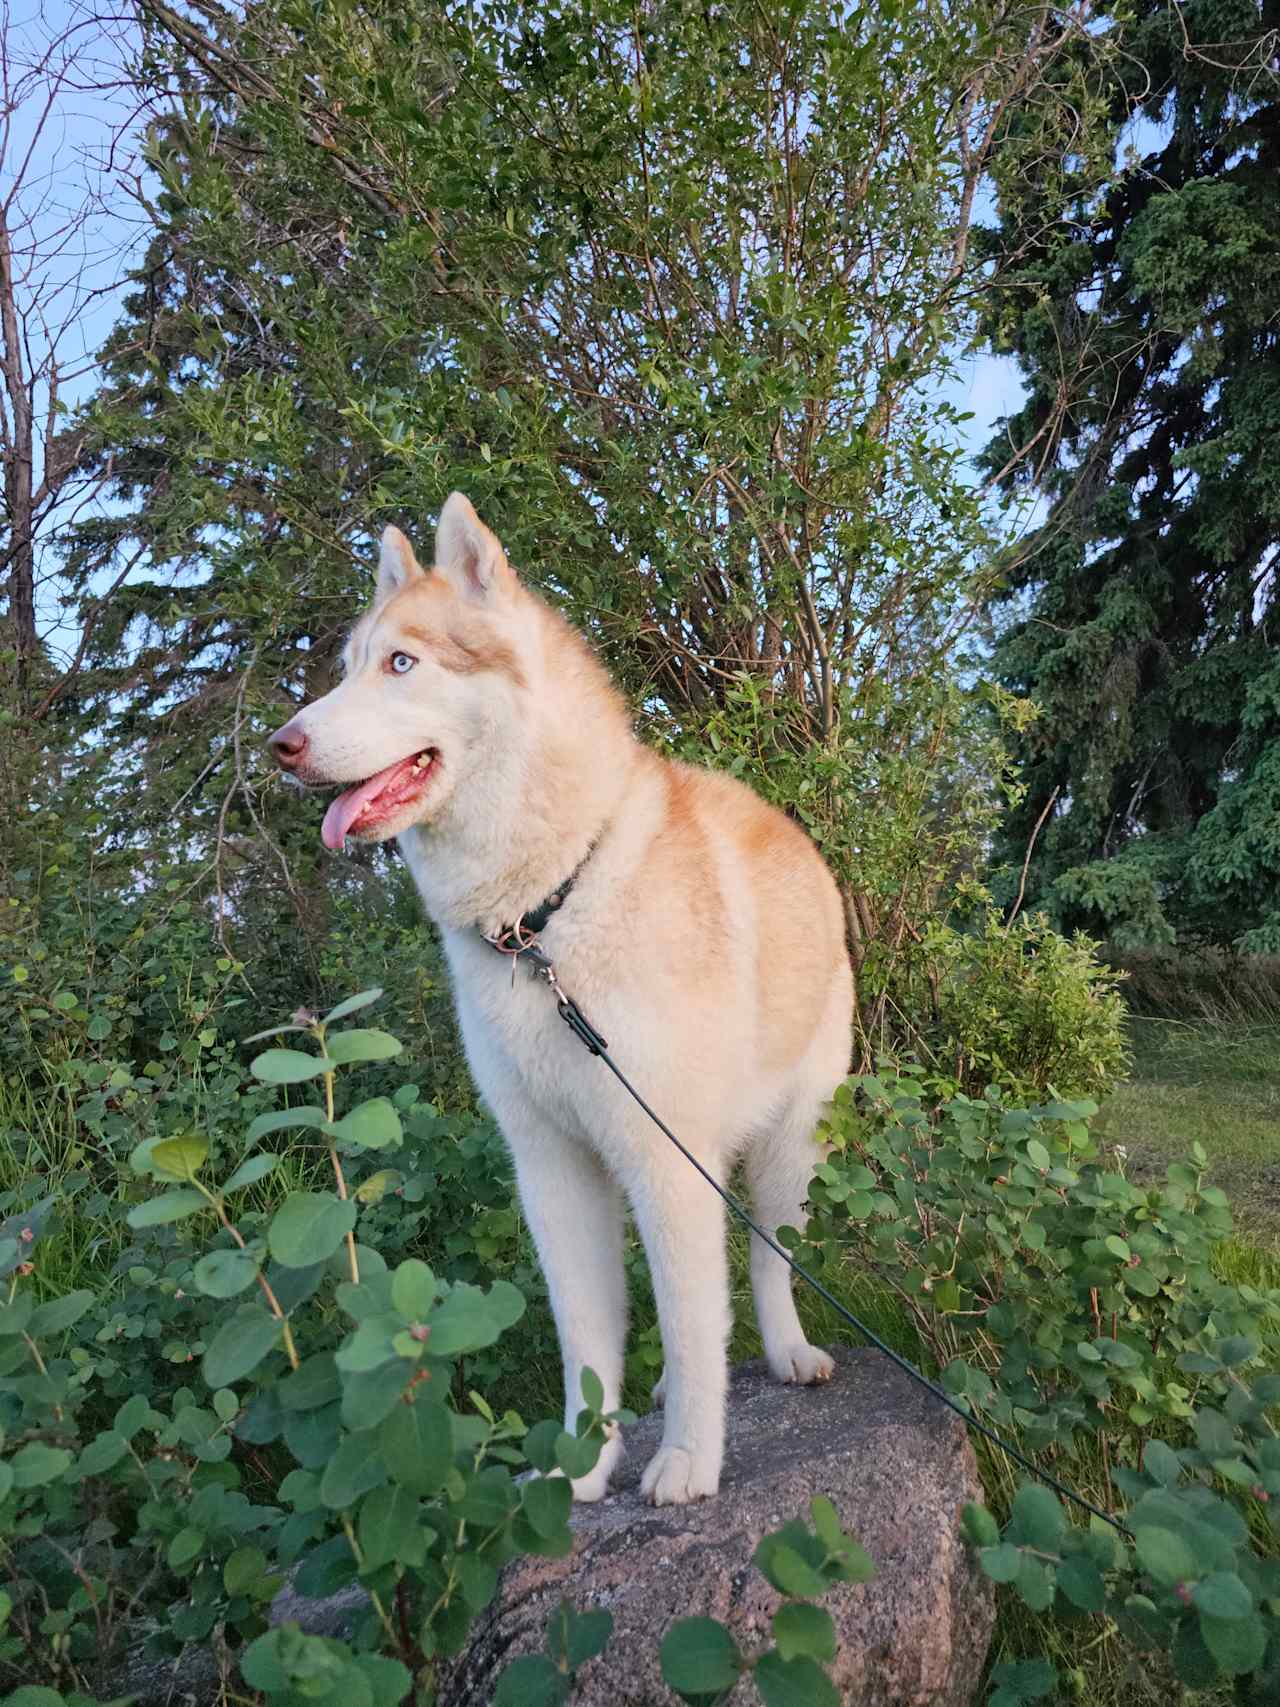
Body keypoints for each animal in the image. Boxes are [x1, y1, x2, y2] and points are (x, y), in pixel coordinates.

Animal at [269, 498, 853, 1508]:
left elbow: (697, 1329)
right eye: (348, 666)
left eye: (401, 664)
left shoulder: (668, 1163)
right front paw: (580, 1468)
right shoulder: (553, 1170)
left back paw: (786, 1352)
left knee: (764, 1266)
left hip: (787, 1153)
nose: (283, 745)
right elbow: (588, 1340)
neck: (541, 915)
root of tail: (794, 833)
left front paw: (688, 1458)